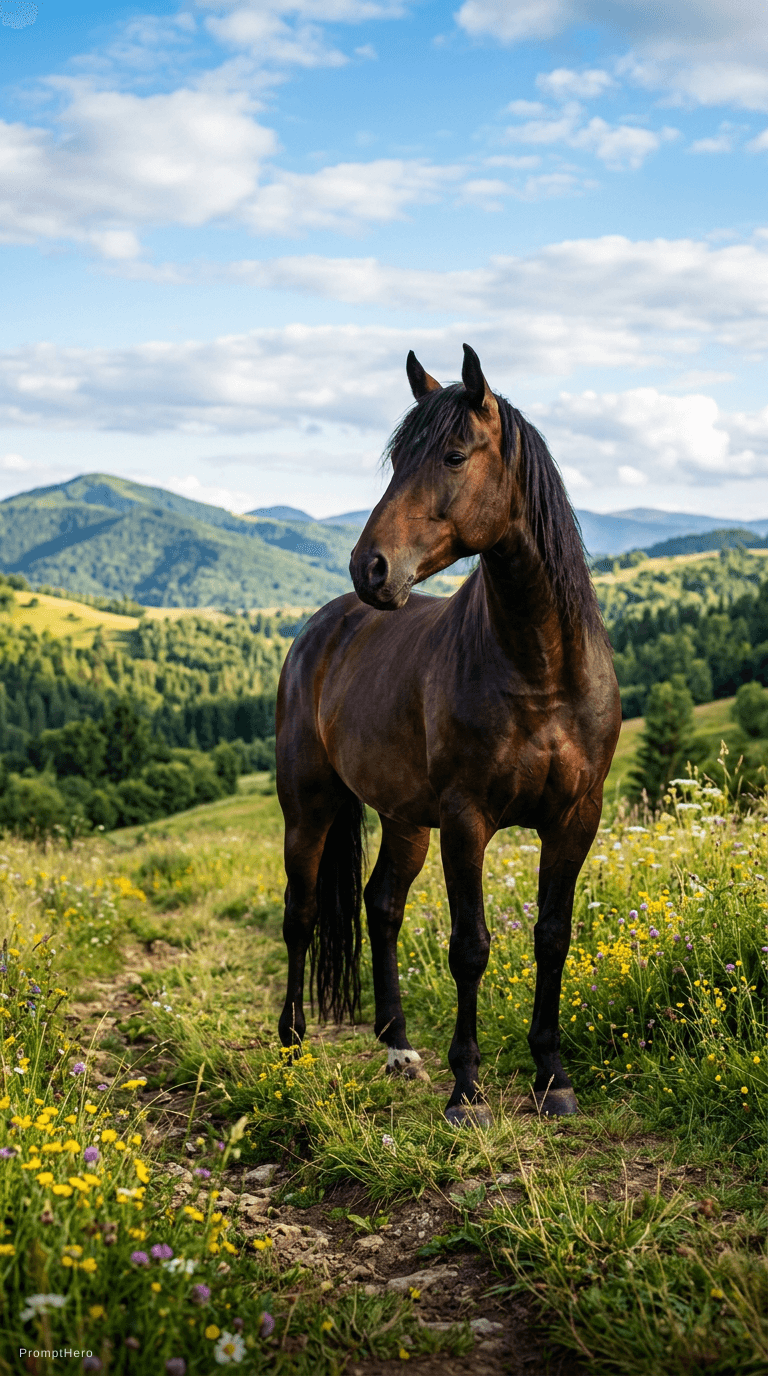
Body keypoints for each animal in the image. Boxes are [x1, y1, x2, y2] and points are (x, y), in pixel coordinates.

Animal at [275, 344, 621, 1124]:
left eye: (454, 455)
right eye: (397, 459)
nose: (370, 567)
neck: (539, 668)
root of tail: (322, 626)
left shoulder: (576, 817)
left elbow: (552, 937)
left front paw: (553, 1077)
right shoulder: (468, 819)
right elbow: (472, 947)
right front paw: (468, 1092)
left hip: (405, 819)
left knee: (381, 906)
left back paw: (397, 1045)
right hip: (309, 810)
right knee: (301, 915)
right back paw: (292, 1043)